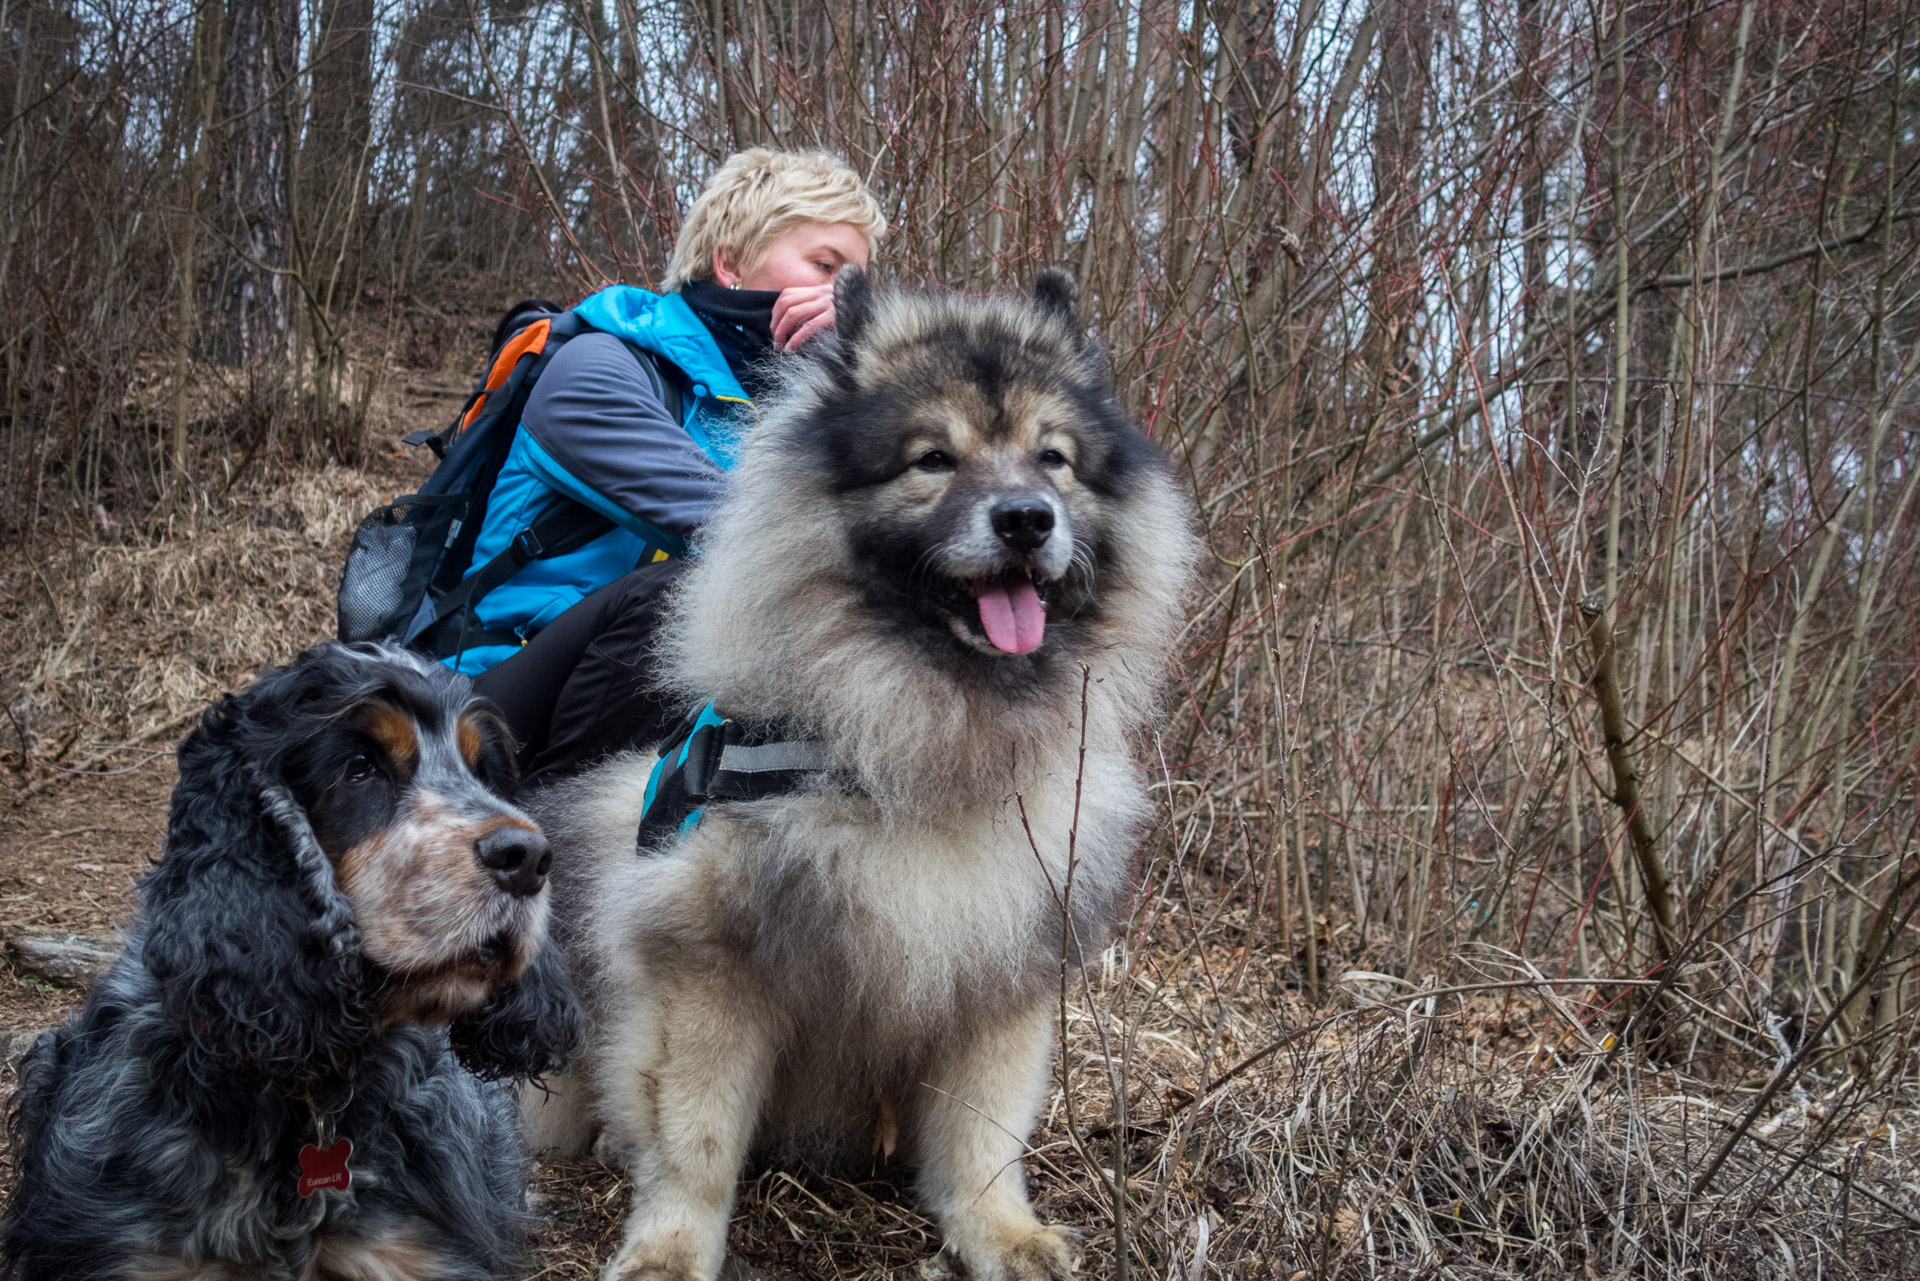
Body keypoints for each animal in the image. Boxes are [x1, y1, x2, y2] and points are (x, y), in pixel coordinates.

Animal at [526, 265, 1198, 1275]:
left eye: (1053, 460)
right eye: (933, 459)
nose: (1026, 519)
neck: (926, 750)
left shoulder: (1001, 971)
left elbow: (983, 1136)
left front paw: (1000, 1232)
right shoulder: (710, 967)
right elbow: (696, 1142)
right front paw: (670, 1248)